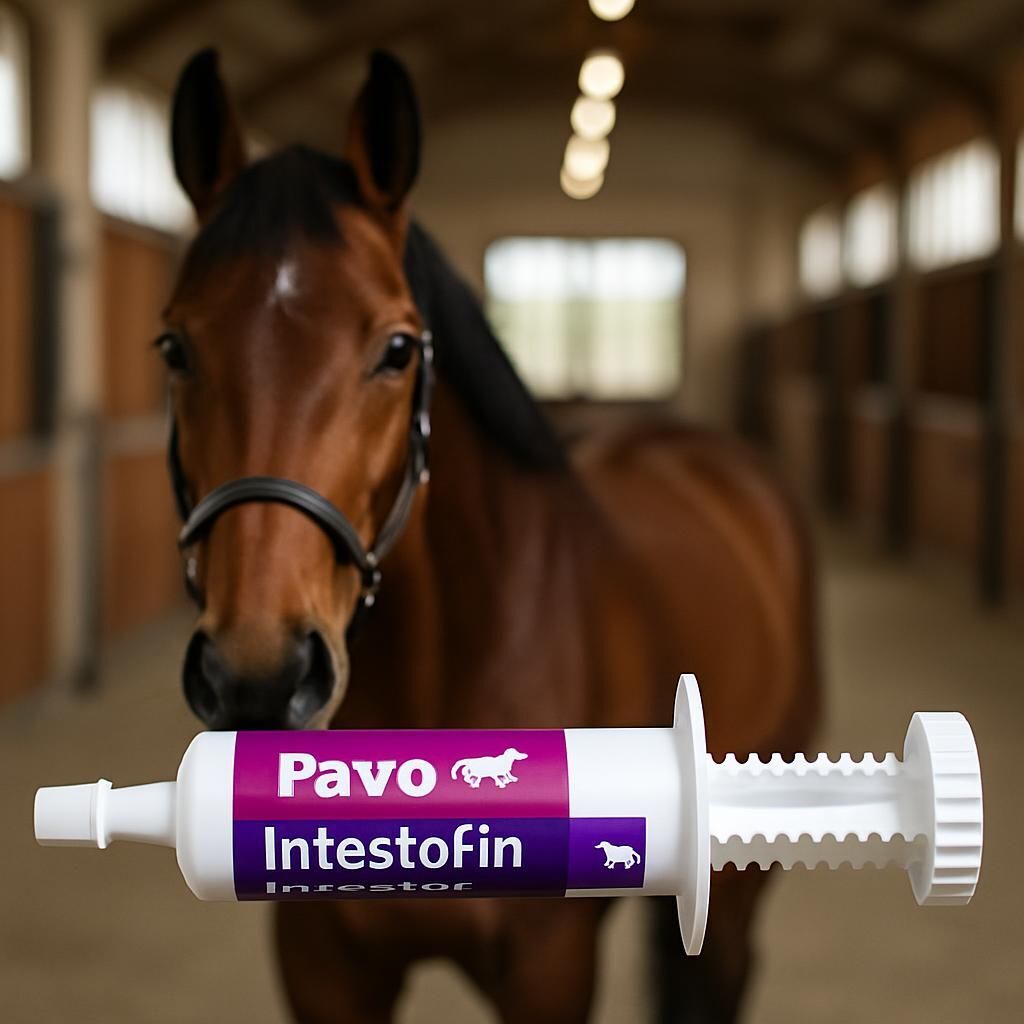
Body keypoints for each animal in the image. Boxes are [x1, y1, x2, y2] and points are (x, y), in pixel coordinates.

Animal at [161, 48, 818, 1024]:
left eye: (398, 349)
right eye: (173, 348)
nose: (257, 674)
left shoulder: (549, 968)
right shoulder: (323, 966)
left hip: (736, 882)